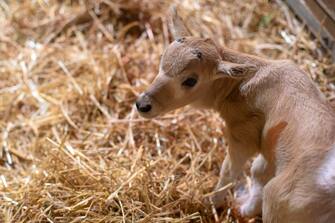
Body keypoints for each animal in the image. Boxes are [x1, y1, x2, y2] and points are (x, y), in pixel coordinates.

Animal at [135, 6, 334, 223]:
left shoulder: (243, 136)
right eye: (162, 58)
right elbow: (258, 172)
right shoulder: (268, 147)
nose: (142, 105)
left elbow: (229, 171)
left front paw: (210, 203)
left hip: (279, 200)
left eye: (190, 80)